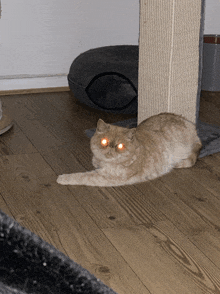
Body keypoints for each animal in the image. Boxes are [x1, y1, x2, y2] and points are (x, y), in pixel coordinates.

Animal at [57, 112, 203, 186]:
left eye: (120, 146)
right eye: (104, 141)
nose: (111, 149)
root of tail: (192, 125)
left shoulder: (106, 177)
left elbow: (82, 176)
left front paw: (63, 178)